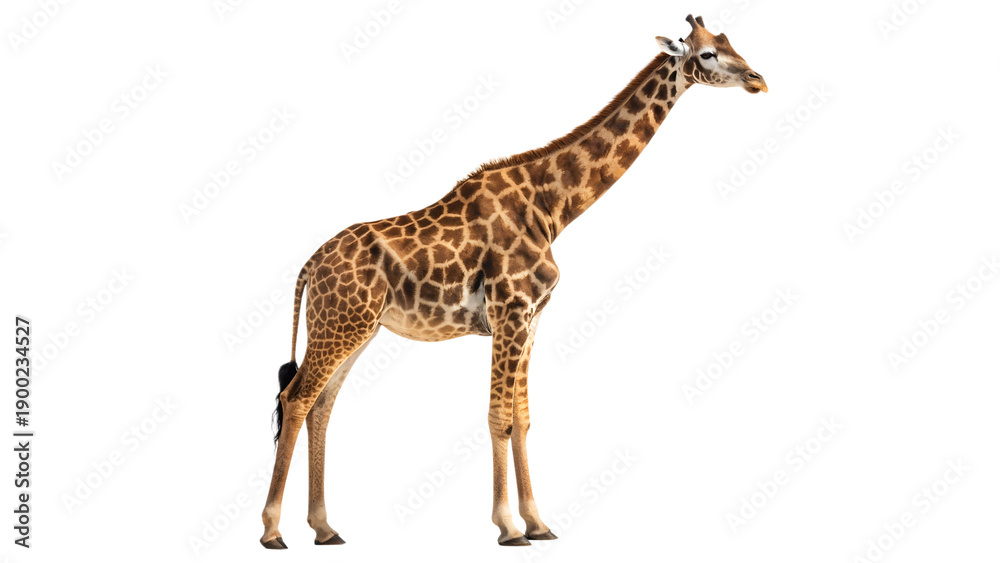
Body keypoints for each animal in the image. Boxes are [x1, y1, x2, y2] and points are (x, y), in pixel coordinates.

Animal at [260, 14, 766, 548]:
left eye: (729, 42)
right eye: (706, 53)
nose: (758, 80)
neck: (552, 206)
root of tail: (310, 265)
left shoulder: (532, 317)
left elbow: (521, 418)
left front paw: (538, 523)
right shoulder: (511, 310)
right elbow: (498, 417)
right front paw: (507, 526)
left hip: (356, 328)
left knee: (321, 406)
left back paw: (324, 527)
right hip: (340, 326)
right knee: (296, 398)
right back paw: (273, 530)